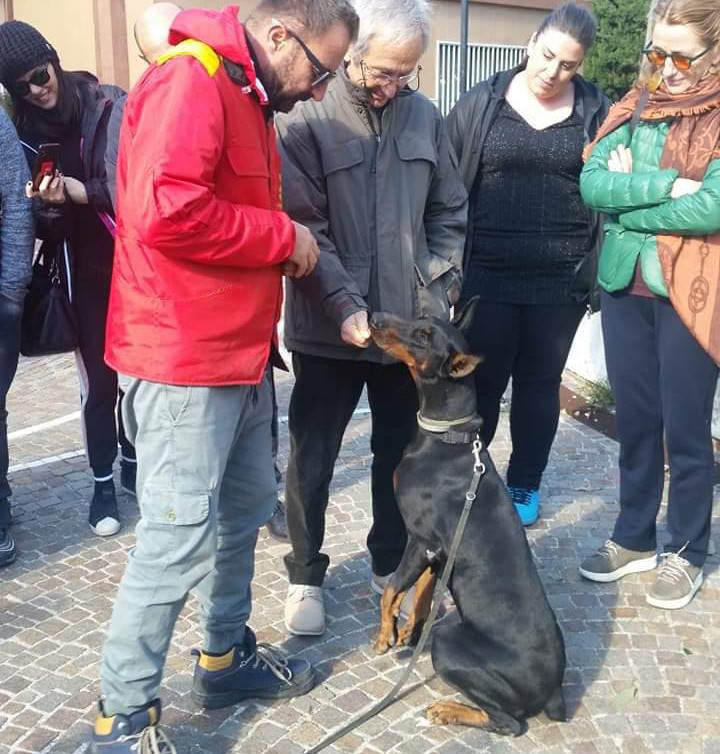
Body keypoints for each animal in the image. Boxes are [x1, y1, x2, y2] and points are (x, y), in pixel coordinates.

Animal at [368, 300, 564, 736]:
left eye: (424, 337)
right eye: (420, 318)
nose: (374, 317)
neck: (448, 438)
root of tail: (553, 692)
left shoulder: (420, 539)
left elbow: (392, 589)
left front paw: (385, 635)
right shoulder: (440, 550)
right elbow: (423, 592)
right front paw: (408, 632)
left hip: (450, 643)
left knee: (508, 723)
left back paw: (449, 709)